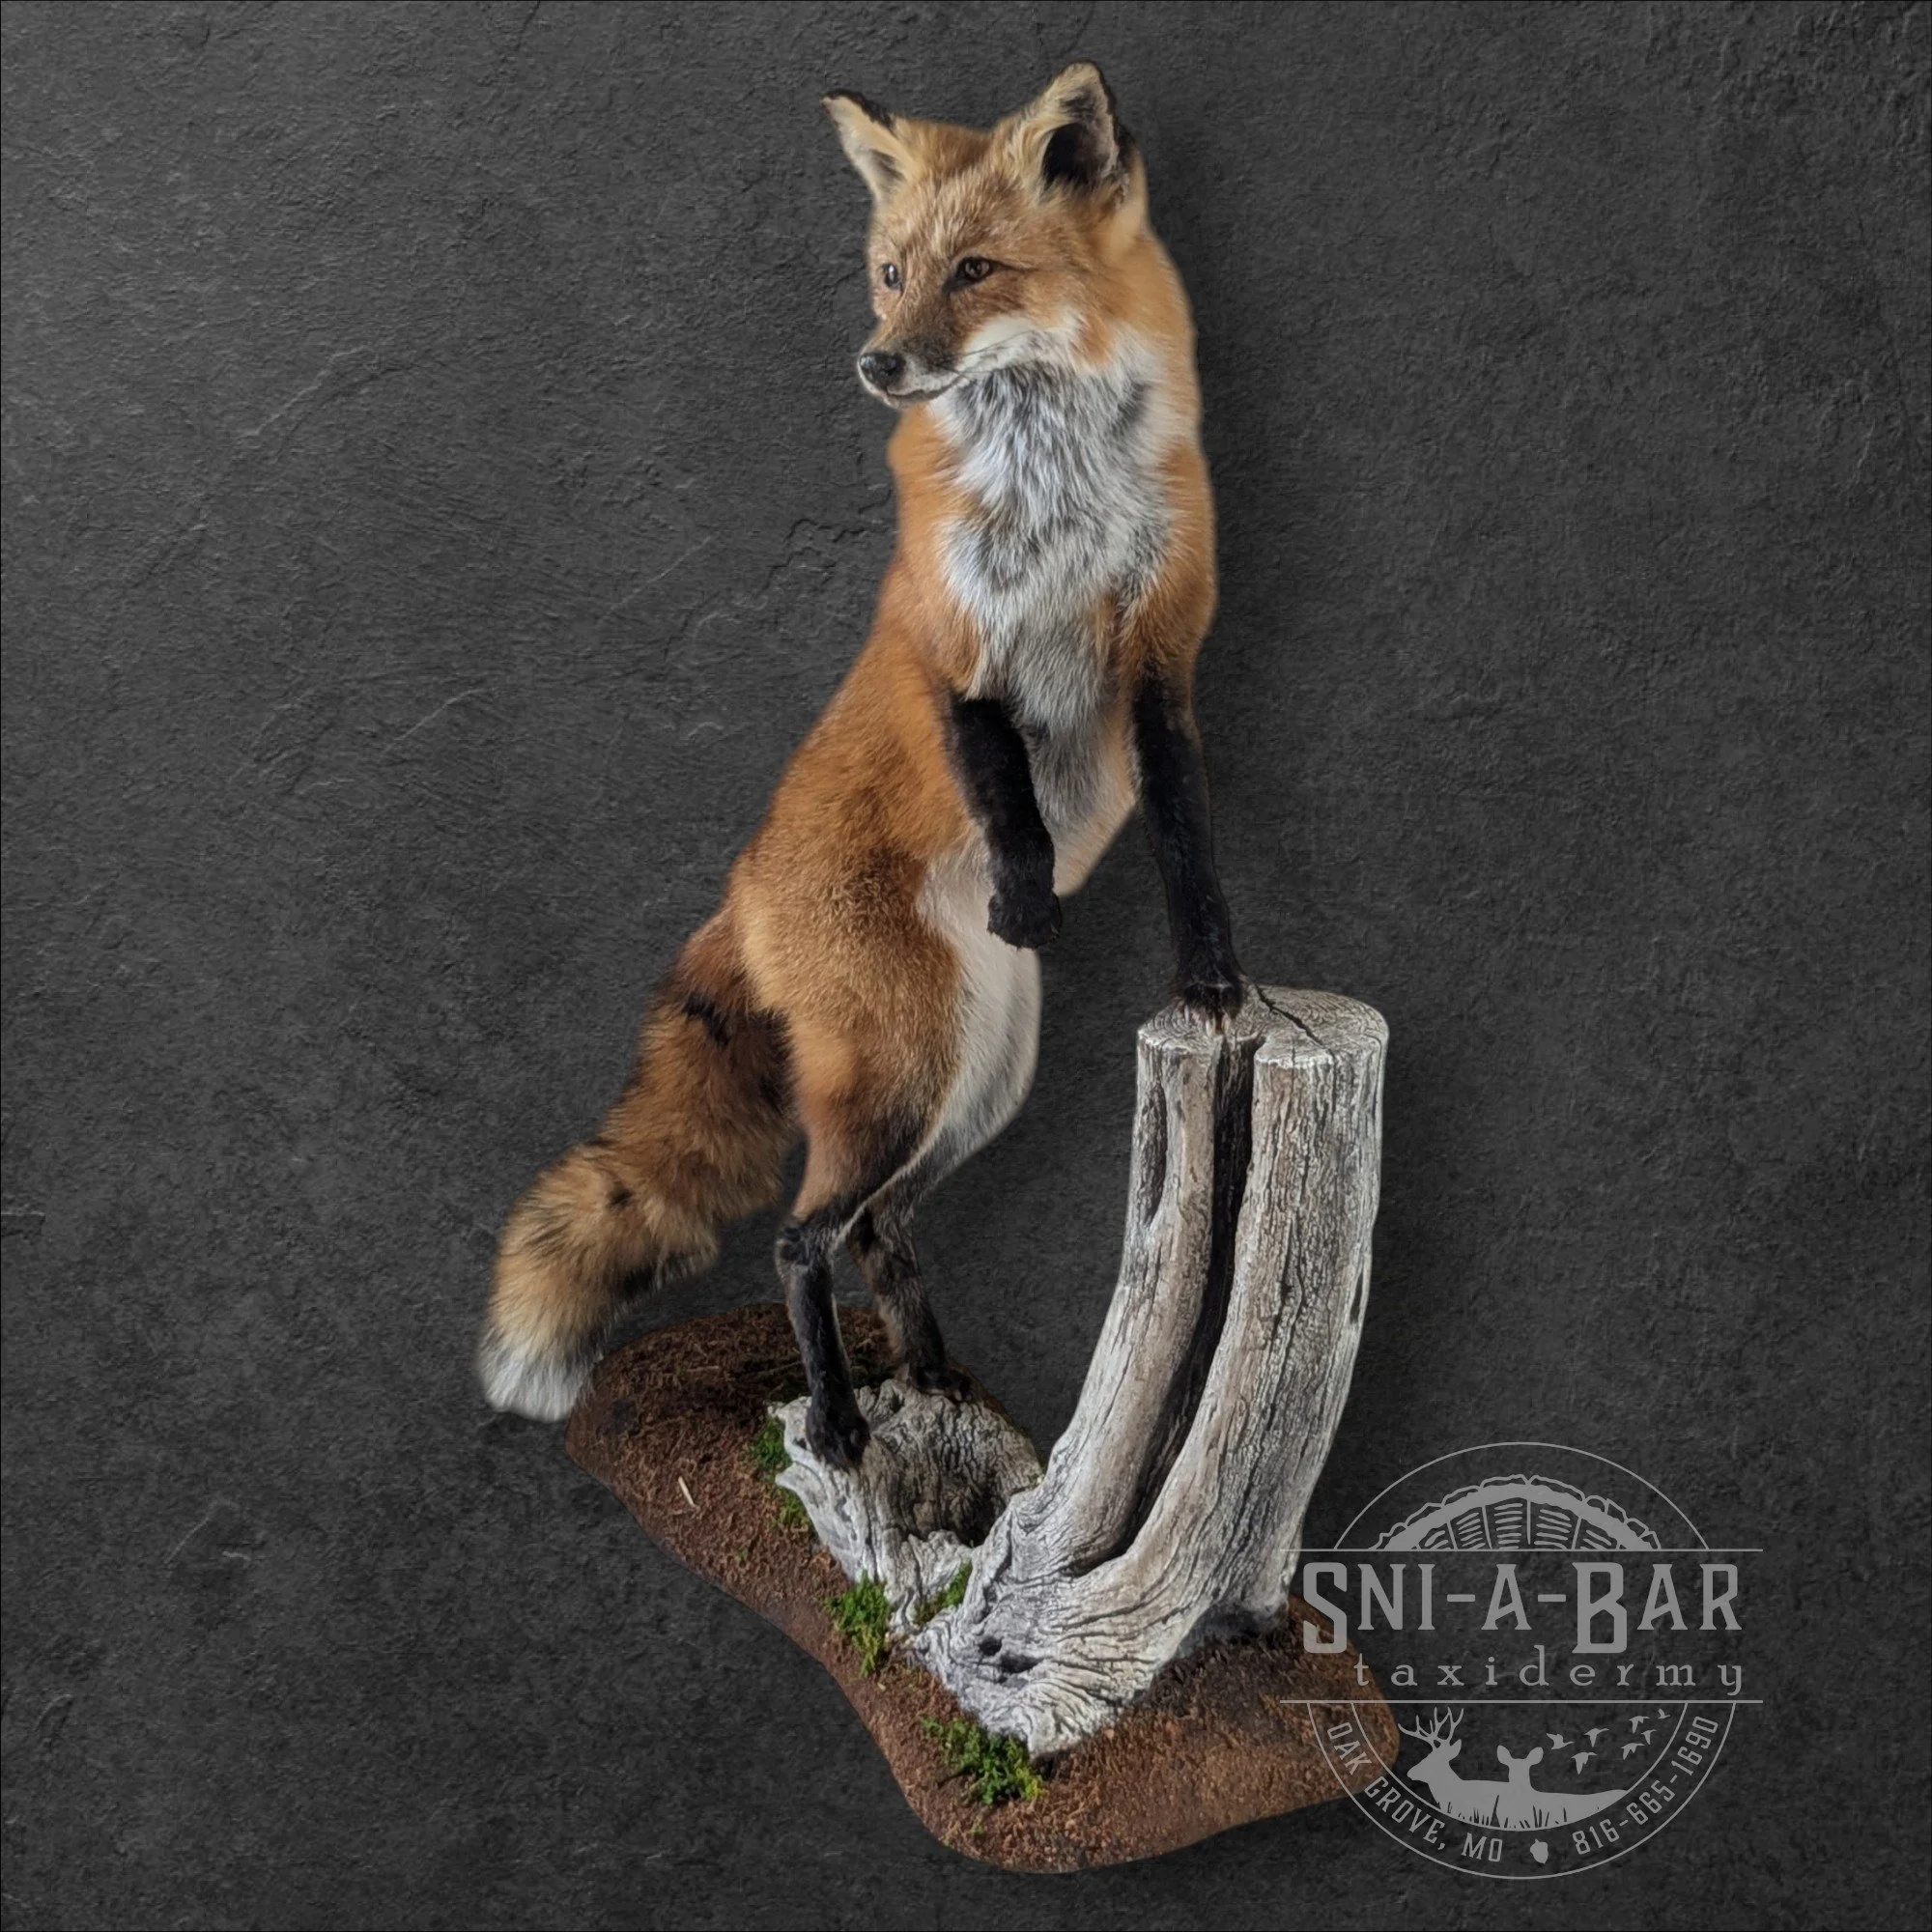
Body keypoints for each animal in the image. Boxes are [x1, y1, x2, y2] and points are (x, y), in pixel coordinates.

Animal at [477, 63, 1245, 1468]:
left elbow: (1185, 839)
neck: (1057, 492)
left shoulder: (1162, 656)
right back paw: (836, 1418)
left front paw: (1214, 978)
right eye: (891, 273)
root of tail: (739, 891)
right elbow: (1000, 788)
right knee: (796, 1241)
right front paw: (1028, 892)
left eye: (976, 270)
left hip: (974, 1085)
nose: (879, 363)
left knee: (878, 1227)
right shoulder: (958, 645)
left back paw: (937, 1386)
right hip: (903, 1079)